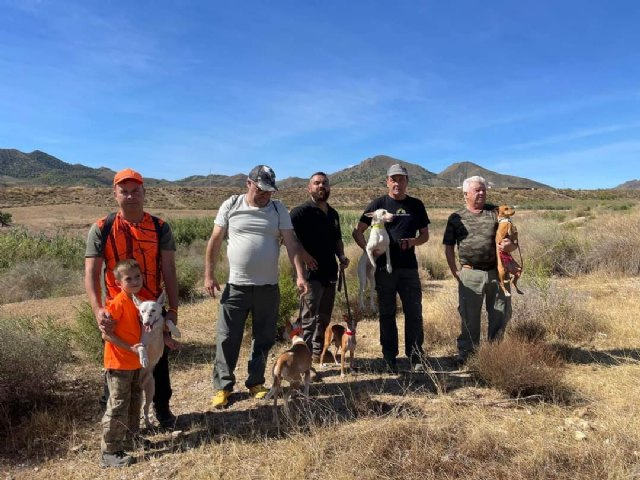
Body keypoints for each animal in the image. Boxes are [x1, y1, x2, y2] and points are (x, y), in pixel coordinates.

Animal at [131, 290, 179, 430]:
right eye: (142, 311)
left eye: (153, 310)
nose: (146, 323)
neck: (152, 331)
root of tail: (141, 383)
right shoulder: (140, 342)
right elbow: (141, 347)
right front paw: (144, 359)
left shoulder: (163, 327)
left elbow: (168, 322)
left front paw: (176, 331)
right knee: (142, 409)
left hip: (151, 390)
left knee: (145, 408)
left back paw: (148, 424)